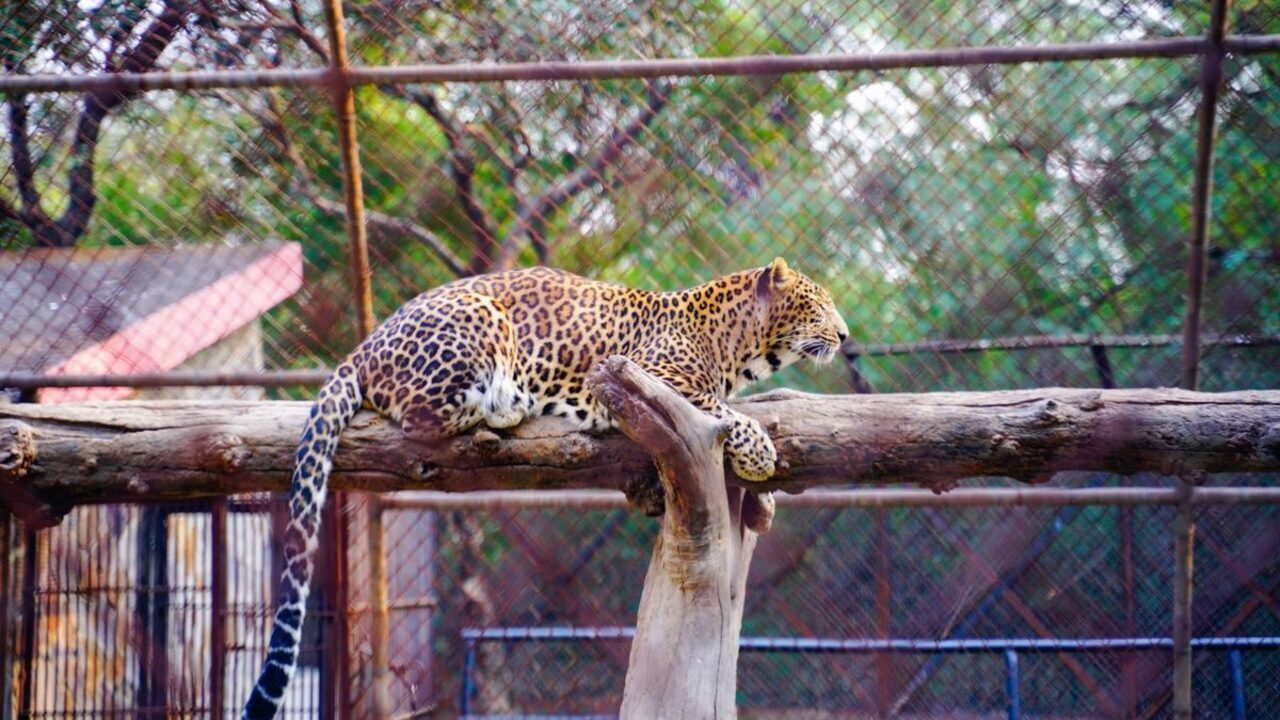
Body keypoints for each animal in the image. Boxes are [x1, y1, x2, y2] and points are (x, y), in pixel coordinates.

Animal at [243, 257, 849, 719]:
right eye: (819, 305)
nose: (845, 335)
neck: (736, 345)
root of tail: (363, 345)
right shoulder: (653, 377)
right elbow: (725, 413)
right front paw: (759, 451)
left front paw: (760, 495)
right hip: (480, 318)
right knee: (420, 413)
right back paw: (506, 403)